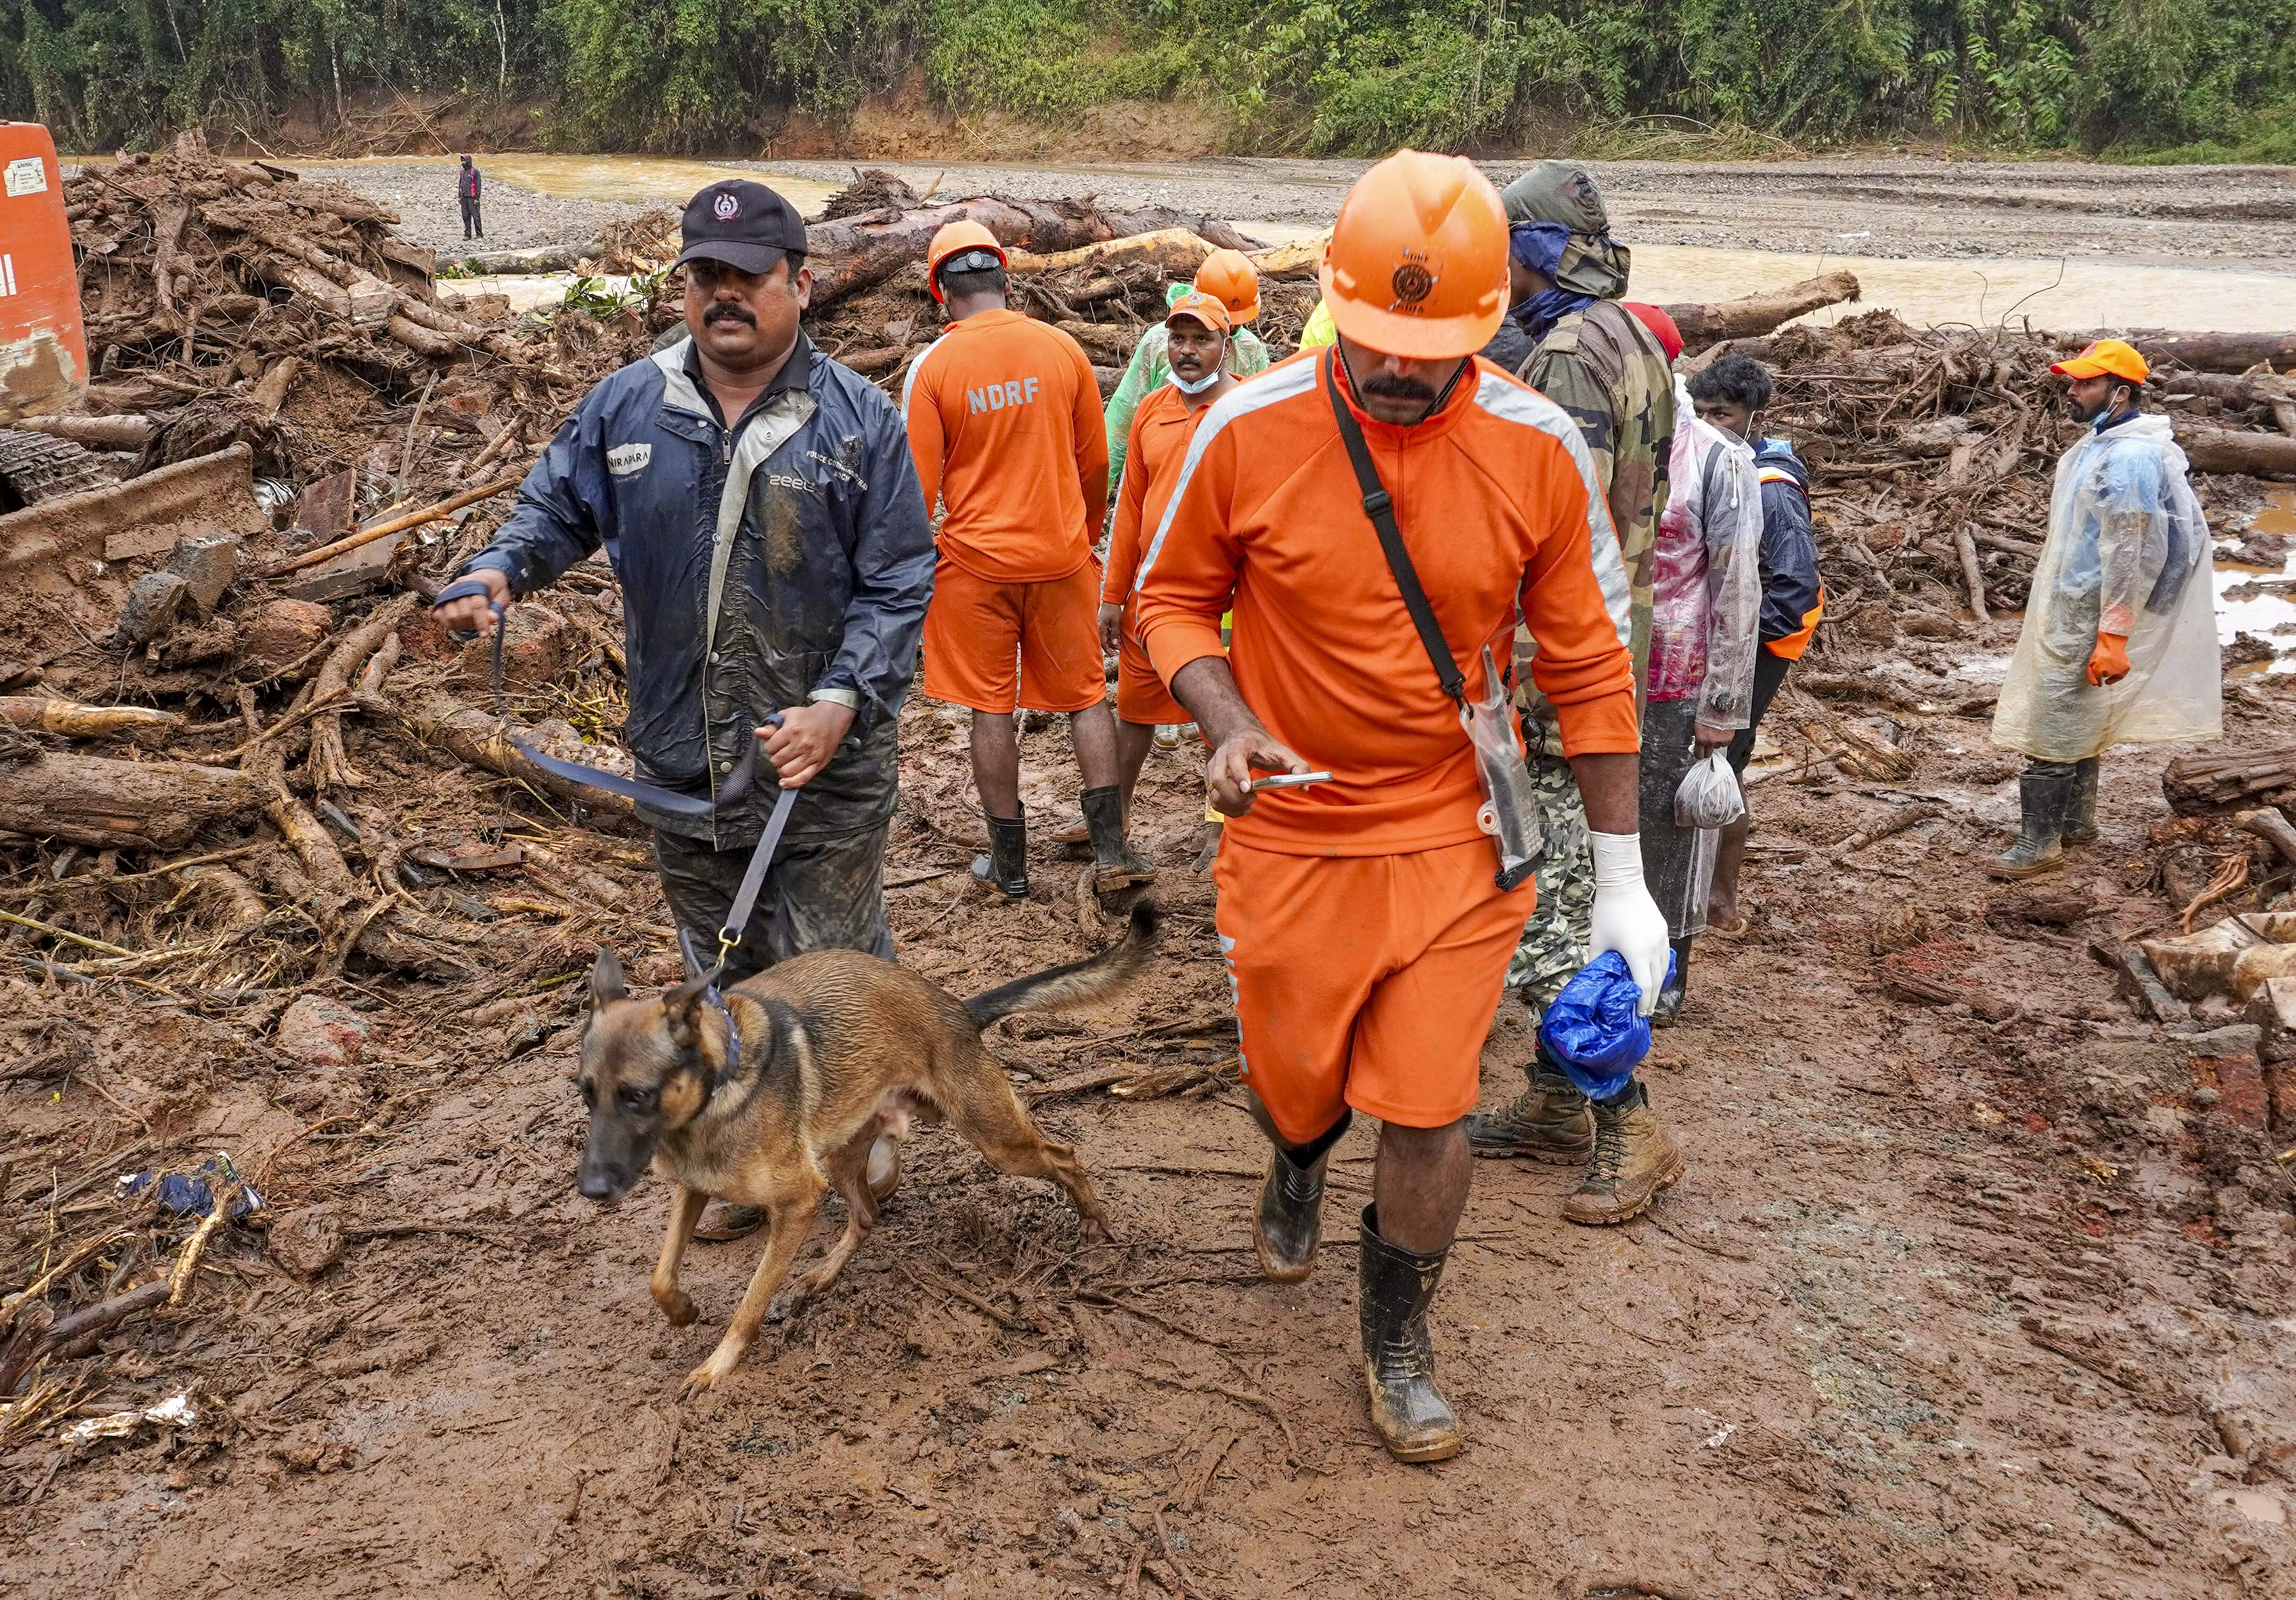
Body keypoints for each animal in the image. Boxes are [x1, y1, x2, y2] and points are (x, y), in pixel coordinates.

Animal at [574, 904, 1148, 1396]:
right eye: (585, 1092)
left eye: (637, 1095)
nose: (591, 1190)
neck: (718, 1089)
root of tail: (958, 1009)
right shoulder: (692, 1188)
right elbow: (660, 1275)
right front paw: (682, 1310)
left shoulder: (798, 1201)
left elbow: (751, 1302)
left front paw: (717, 1366)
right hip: (842, 1155)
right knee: (869, 1213)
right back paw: (824, 1274)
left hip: (995, 1139)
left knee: (1064, 1155)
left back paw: (1094, 1222)